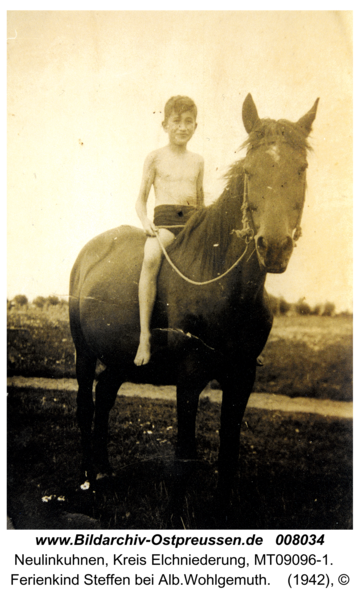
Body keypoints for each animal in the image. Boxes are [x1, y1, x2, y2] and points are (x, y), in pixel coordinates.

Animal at [69, 95, 320, 506]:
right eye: (249, 170)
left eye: (302, 169)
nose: (274, 247)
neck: (224, 287)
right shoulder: (188, 376)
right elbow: (185, 455)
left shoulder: (243, 376)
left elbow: (229, 451)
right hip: (84, 354)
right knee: (85, 406)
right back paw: (88, 476)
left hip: (119, 360)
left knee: (104, 397)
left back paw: (104, 470)